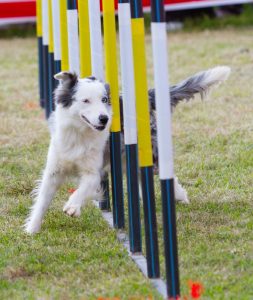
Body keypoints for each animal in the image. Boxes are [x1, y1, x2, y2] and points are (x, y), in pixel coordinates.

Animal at [24, 66, 230, 234]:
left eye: (104, 100)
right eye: (85, 101)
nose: (104, 118)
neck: (80, 134)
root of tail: (144, 98)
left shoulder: (94, 172)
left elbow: (82, 189)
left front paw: (72, 207)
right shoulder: (54, 170)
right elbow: (42, 199)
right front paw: (32, 228)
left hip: (147, 149)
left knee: (162, 172)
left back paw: (179, 195)